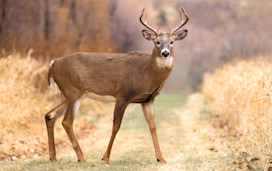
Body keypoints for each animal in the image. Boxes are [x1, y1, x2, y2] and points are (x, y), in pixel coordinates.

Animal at [44, 6, 188, 164]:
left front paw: (161, 158)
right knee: (67, 121)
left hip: (66, 94)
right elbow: (116, 126)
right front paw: (105, 157)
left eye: (172, 41)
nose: (165, 53)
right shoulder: (122, 95)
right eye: (157, 42)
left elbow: (153, 126)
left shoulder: (148, 100)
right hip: (74, 91)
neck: (147, 72)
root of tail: (53, 64)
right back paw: (81, 157)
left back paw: (53, 157)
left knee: (50, 115)